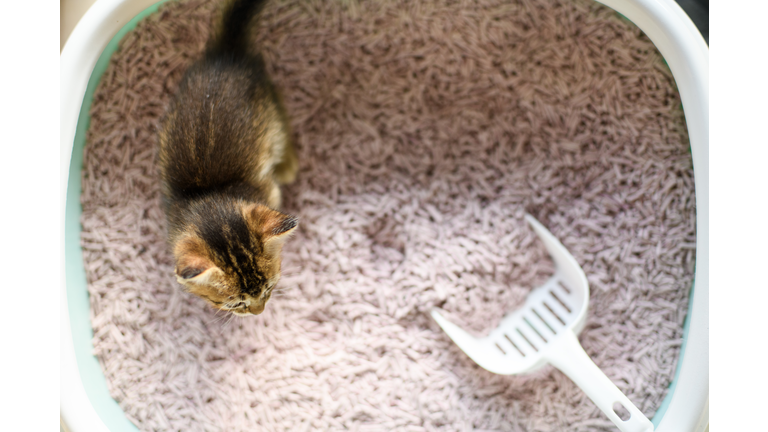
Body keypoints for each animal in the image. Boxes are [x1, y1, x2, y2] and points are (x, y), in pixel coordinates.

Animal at [159, 0, 296, 318]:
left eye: (269, 288)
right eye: (236, 303)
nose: (258, 312)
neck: (211, 193)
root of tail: (227, 50)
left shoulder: (269, 191)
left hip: (268, 104)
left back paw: (287, 165)